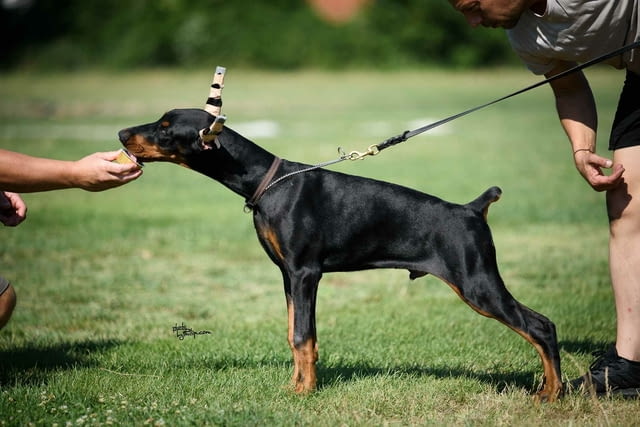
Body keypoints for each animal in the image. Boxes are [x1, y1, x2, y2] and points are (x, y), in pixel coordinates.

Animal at [117, 108, 564, 402]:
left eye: (165, 128)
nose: (121, 133)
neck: (268, 182)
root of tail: (472, 209)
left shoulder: (305, 273)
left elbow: (303, 335)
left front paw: (304, 394)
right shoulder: (287, 276)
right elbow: (293, 333)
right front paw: (295, 386)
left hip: (475, 281)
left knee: (540, 327)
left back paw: (553, 393)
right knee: (541, 323)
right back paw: (547, 387)